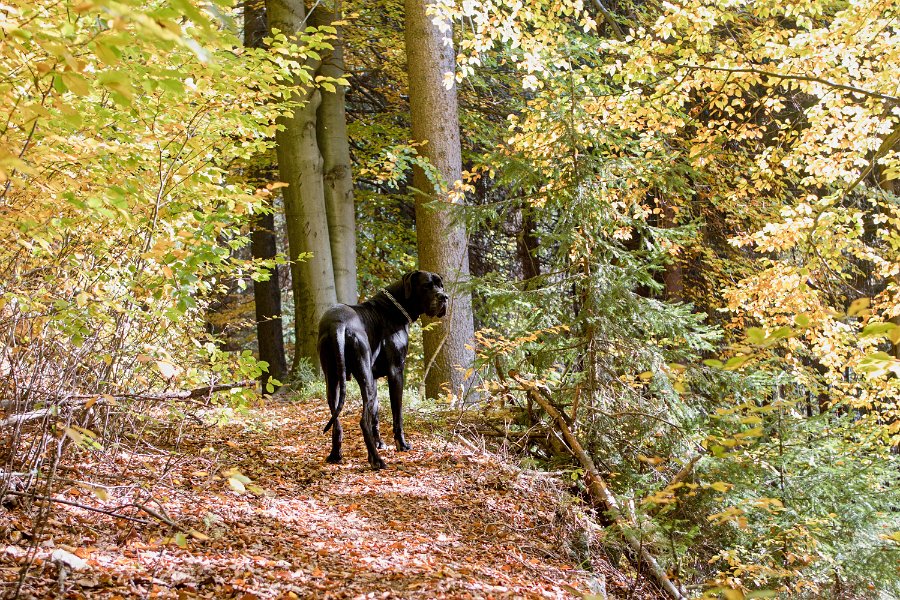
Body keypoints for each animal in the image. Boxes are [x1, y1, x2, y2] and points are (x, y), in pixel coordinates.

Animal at [322, 270, 450, 468]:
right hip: (363, 374)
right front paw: (401, 444)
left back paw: (336, 454)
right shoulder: (396, 372)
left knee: (337, 421)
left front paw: (379, 442)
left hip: (335, 380)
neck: (394, 308)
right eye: (427, 286)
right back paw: (376, 460)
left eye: (440, 285)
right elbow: (397, 413)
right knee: (363, 421)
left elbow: (375, 411)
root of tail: (338, 324)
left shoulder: (373, 378)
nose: (444, 297)